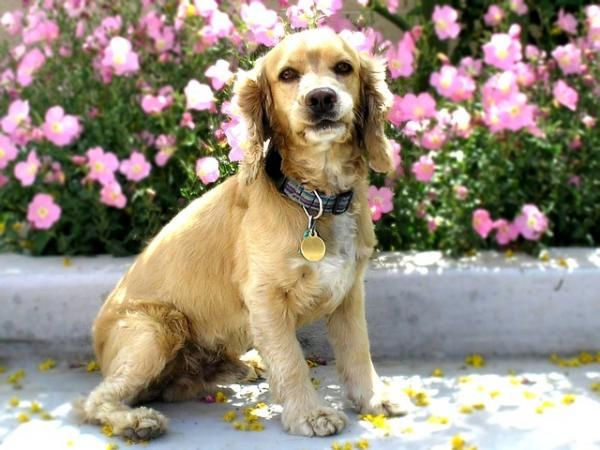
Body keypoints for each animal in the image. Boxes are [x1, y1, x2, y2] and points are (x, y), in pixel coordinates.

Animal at [78, 27, 408, 440]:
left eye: (344, 67)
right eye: (287, 75)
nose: (321, 98)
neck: (316, 199)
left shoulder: (348, 291)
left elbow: (357, 350)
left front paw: (374, 399)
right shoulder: (265, 297)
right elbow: (291, 360)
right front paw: (310, 414)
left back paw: (239, 365)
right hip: (154, 331)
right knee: (96, 401)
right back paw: (137, 421)